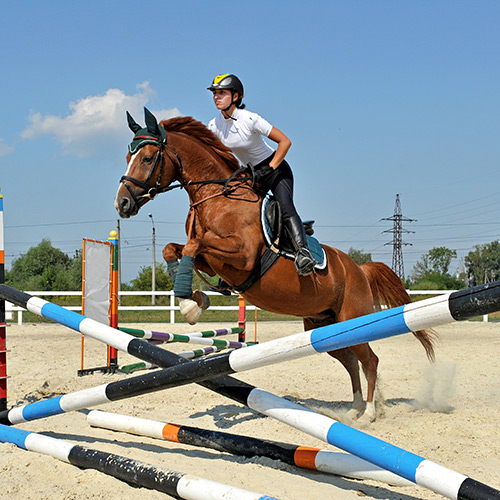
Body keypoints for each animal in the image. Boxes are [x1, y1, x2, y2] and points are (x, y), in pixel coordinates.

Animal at [115, 109, 436, 422]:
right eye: (127, 157)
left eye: (146, 158)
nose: (122, 204)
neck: (217, 198)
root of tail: (359, 269)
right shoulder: (211, 262)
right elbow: (173, 249)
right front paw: (193, 301)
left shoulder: (241, 256)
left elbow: (194, 246)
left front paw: (188, 305)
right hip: (323, 325)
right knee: (350, 360)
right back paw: (354, 408)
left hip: (352, 319)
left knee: (369, 359)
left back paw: (369, 412)